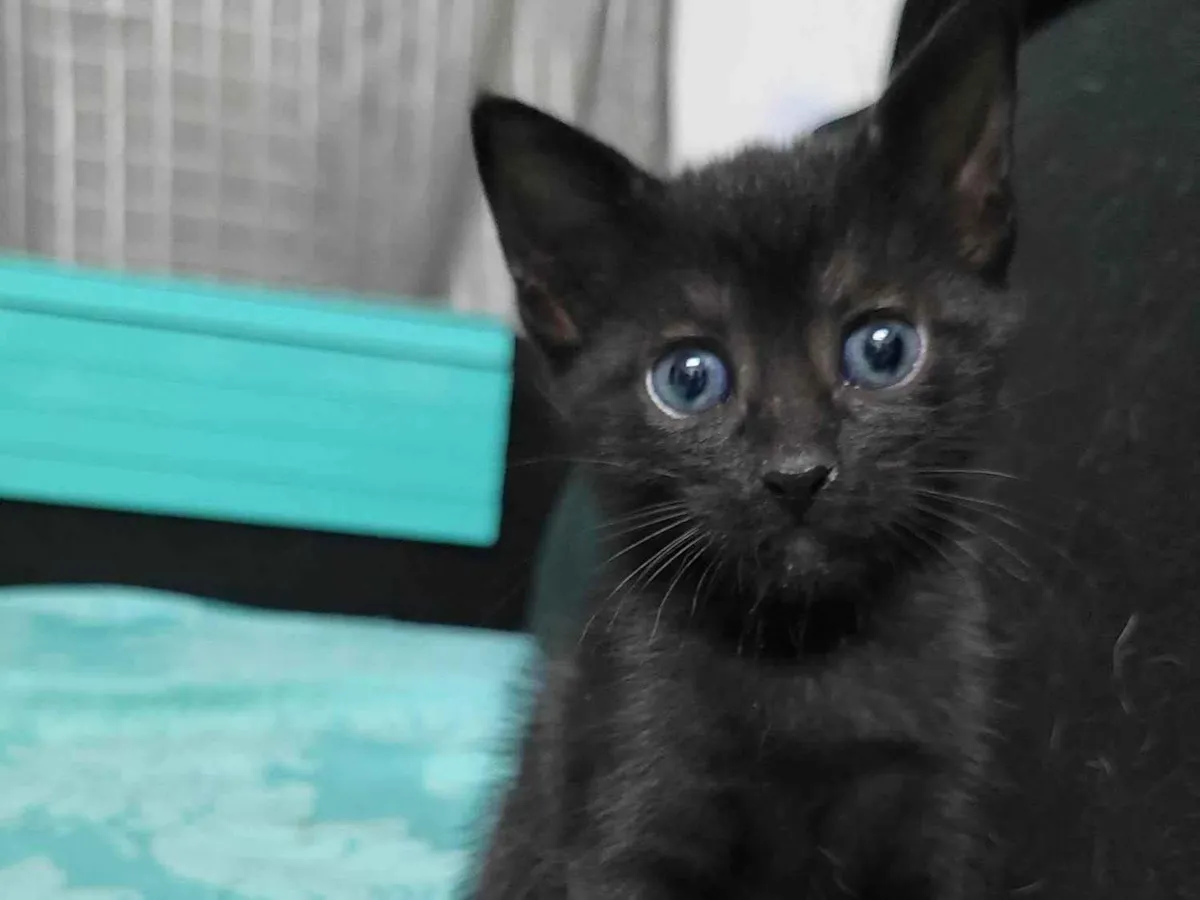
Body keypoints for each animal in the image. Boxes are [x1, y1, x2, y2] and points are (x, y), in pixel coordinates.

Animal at [469, 0, 1021, 897]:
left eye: (883, 349)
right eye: (689, 378)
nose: (796, 473)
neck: (806, 658)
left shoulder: (939, 815)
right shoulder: (632, 802)